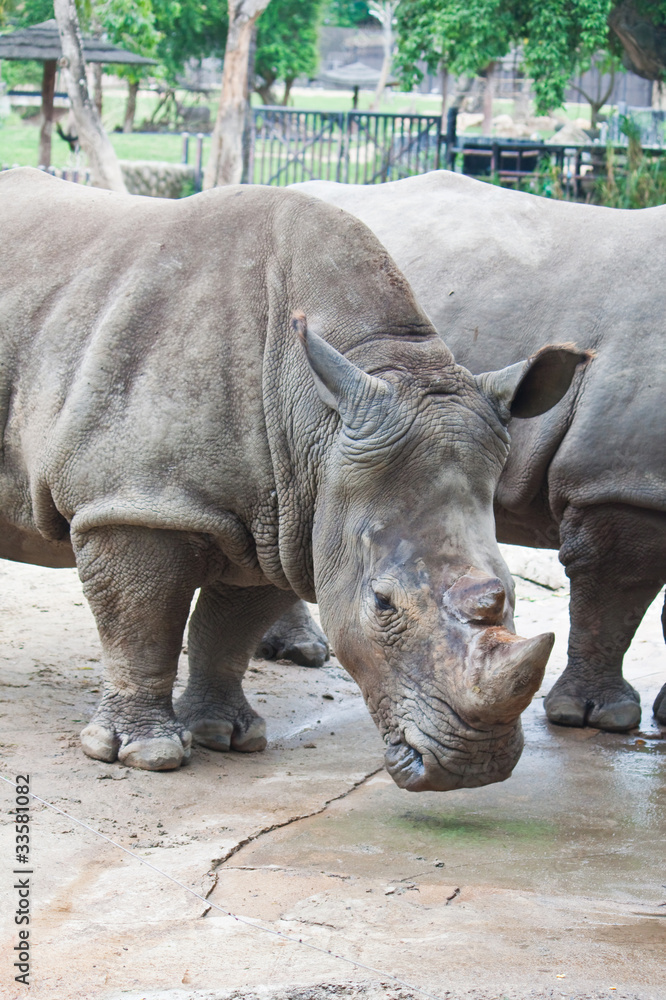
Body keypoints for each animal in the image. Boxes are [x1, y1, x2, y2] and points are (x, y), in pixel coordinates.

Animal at [0, 168, 584, 789]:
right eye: (382, 604)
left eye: (515, 591)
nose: (475, 768)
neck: (319, 420)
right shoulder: (139, 504)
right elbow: (142, 623)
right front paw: (147, 755)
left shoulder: (284, 518)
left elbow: (229, 629)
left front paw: (226, 736)